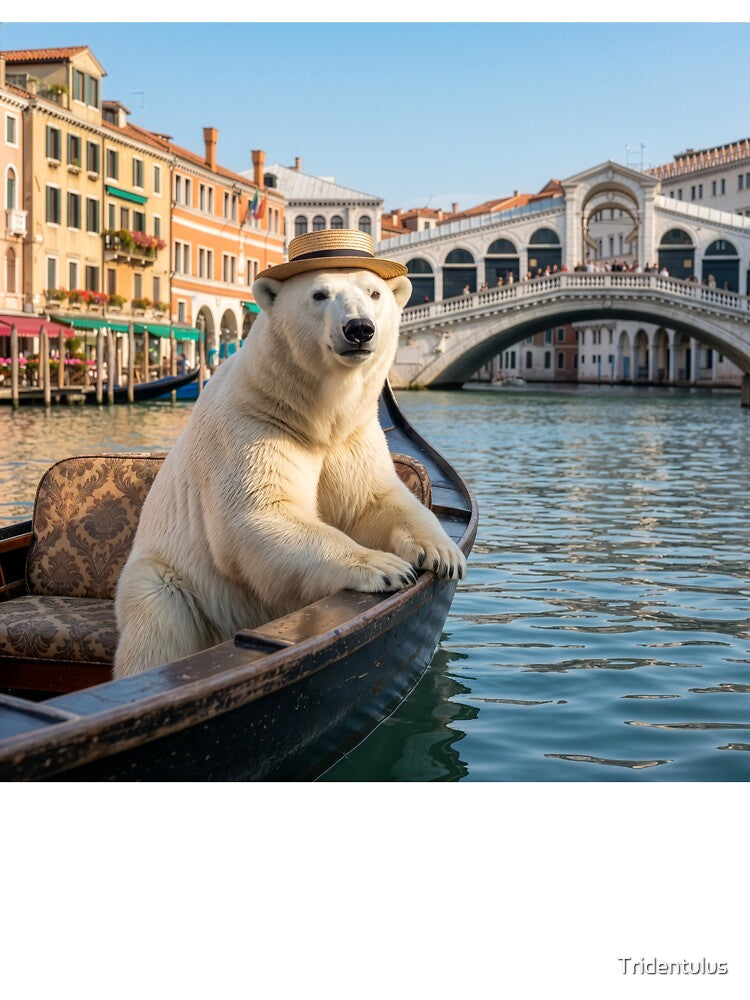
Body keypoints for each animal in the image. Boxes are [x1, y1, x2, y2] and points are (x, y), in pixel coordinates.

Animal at [114, 232, 466, 678]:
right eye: (319, 294)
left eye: (374, 293)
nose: (359, 329)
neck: (309, 414)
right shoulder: (250, 427)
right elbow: (260, 516)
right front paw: (385, 567)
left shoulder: (351, 438)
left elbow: (373, 500)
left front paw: (443, 552)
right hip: (172, 582)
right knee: (158, 628)